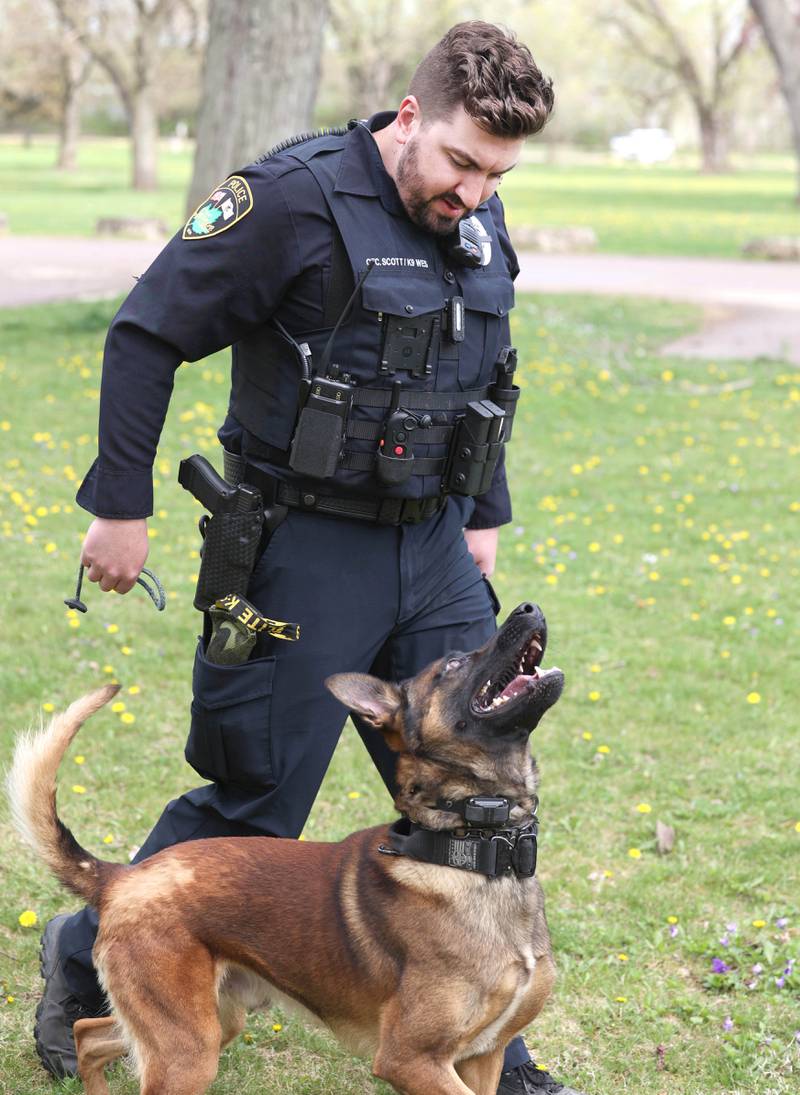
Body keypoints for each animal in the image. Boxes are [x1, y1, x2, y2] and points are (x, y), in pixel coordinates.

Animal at [9, 604, 564, 1090]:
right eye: (451, 664)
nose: (528, 609)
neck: (477, 848)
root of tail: (123, 878)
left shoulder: (483, 1055)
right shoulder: (410, 1059)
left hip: (208, 1024)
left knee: (89, 1036)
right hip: (188, 1051)